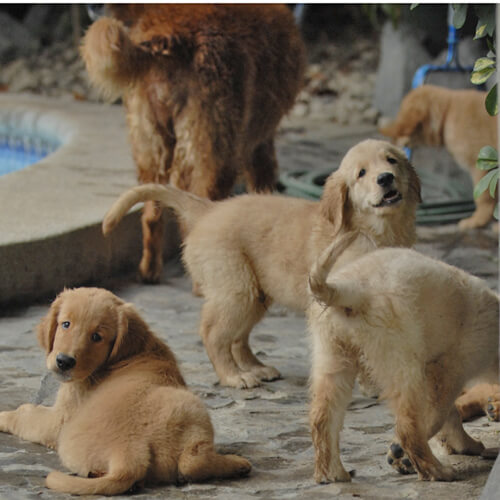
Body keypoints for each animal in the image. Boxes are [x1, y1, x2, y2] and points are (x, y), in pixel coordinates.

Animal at [0, 288, 250, 494]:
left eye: (97, 337)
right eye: (66, 324)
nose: (64, 362)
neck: (132, 351)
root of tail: (128, 452)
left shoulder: (60, 419)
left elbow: (26, 414)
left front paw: (5, 415)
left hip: (192, 404)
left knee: (192, 464)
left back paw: (238, 464)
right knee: (189, 464)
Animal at [80, 3, 306, 284]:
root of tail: (166, 40)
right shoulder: (261, 143)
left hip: (151, 148)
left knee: (152, 215)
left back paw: (149, 271)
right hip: (212, 155)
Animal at [102, 139, 422, 388]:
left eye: (391, 160)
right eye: (361, 174)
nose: (385, 178)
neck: (375, 231)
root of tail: (210, 210)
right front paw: (371, 383)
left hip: (256, 293)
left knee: (237, 337)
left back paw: (255, 368)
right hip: (236, 287)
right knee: (213, 333)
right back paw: (234, 377)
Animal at [306, 234, 498, 484]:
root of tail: (352, 290)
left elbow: (449, 414)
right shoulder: (450, 366)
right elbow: (439, 414)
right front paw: (400, 452)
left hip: (332, 352)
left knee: (322, 416)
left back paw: (332, 474)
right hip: (402, 355)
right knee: (408, 425)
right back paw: (436, 471)